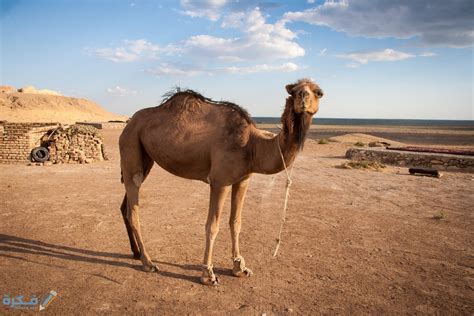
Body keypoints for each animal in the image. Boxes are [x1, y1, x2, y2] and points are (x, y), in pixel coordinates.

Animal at [120, 78, 324, 286]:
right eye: (294, 91)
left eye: (318, 92)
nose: (303, 97)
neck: (252, 145)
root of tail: (129, 122)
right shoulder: (220, 181)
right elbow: (212, 226)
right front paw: (208, 274)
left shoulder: (242, 180)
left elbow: (236, 222)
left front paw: (239, 267)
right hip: (130, 143)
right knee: (133, 207)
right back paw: (148, 262)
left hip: (144, 158)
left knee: (126, 205)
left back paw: (136, 253)